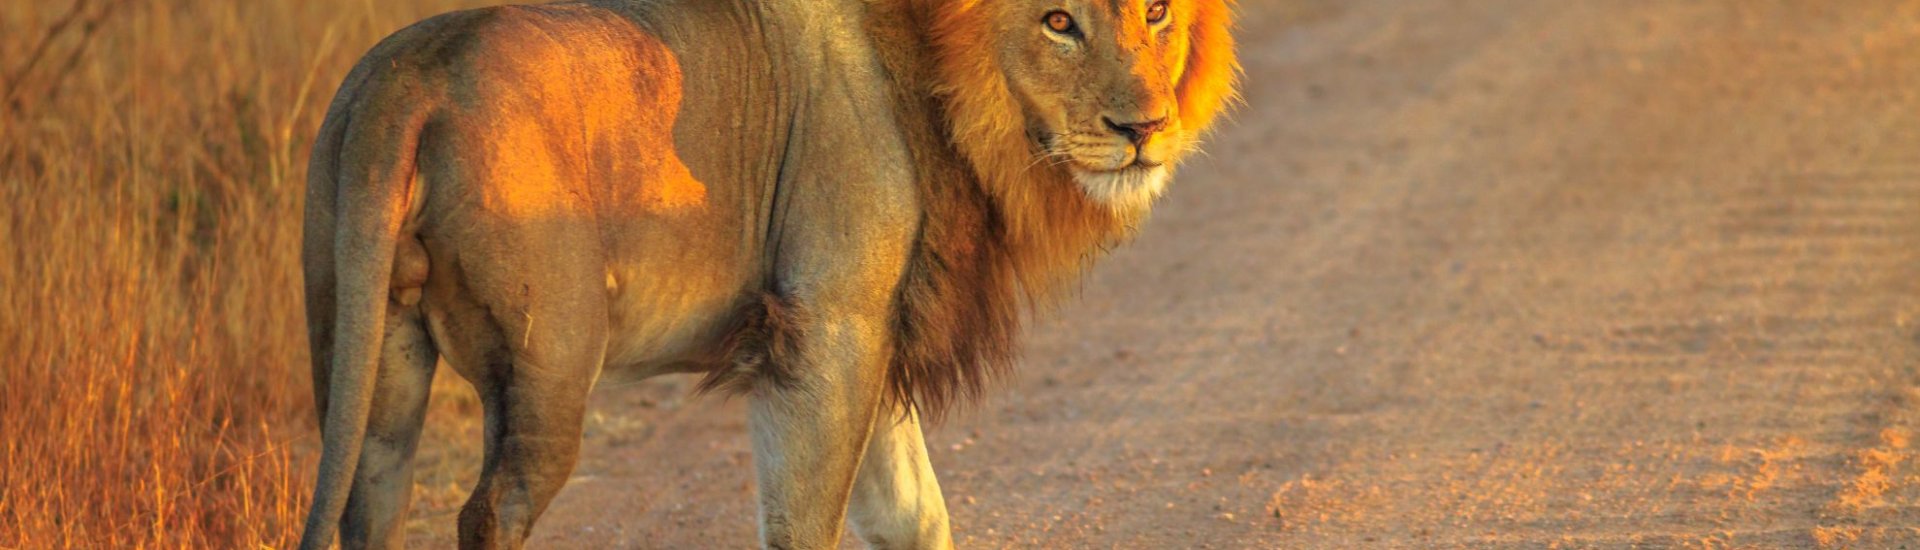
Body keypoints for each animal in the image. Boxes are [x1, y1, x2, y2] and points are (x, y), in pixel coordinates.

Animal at [297, 0, 1237, 548]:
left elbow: (914, 515)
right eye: (1058, 21)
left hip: (372, 353)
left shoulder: (877, 333)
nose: (1144, 128)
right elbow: (806, 520)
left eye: (1157, 10)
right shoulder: (828, 325)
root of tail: (407, 80)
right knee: (493, 511)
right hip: (548, 368)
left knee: (369, 497)